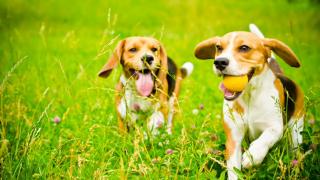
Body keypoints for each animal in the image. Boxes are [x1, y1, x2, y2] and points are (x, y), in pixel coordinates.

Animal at [194, 24, 304, 179]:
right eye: (218, 47)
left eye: (244, 48)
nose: (220, 62)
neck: (249, 96)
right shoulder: (233, 139)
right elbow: (233, 169)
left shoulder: (275, 127)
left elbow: (266, 137)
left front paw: (253, 156)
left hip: (296, 130)